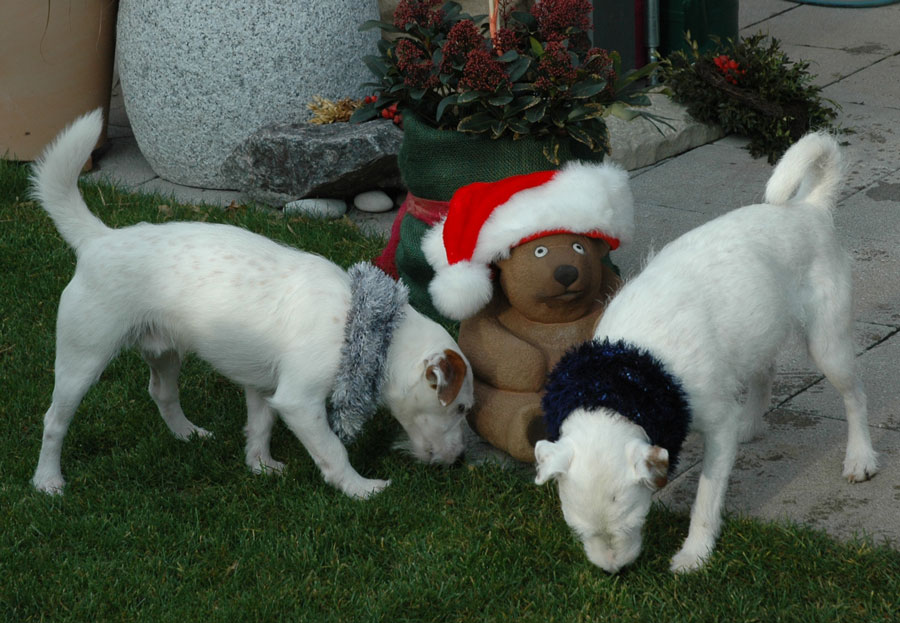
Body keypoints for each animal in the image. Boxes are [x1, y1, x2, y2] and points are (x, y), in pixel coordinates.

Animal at [536, 133, 880, 576]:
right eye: (577, 530)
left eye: (635, 520)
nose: (615, 572)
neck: (633, 374)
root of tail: (809, 207)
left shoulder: (716, 427)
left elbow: (705, 499)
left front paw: (694, 554)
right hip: (760, 329)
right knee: (764, 370)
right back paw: (752, 422)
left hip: (828, 345)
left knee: (856, 396)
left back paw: (860, 457)